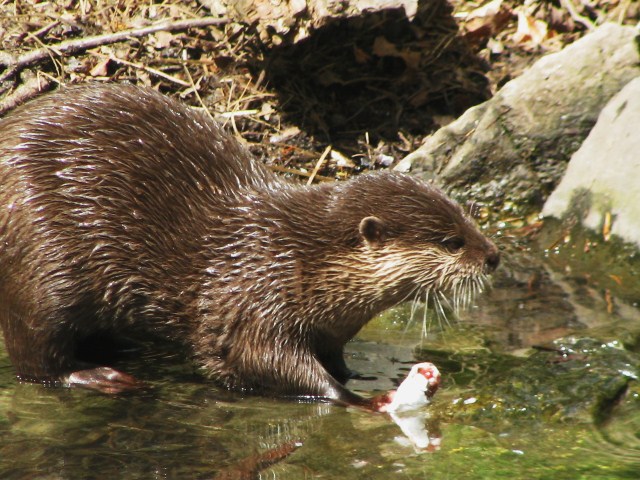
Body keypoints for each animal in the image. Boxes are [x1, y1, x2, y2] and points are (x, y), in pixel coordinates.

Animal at [0, 84, 498, 408]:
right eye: (451, 242)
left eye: (468, 218)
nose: (492, 256)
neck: (297, 260)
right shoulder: (256, 301)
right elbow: (265, 362)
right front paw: (361, 399)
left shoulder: (325, 326)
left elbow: (334, 361)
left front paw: (366, 375)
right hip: (42, 262)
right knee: (34, 359)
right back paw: (102, 377)